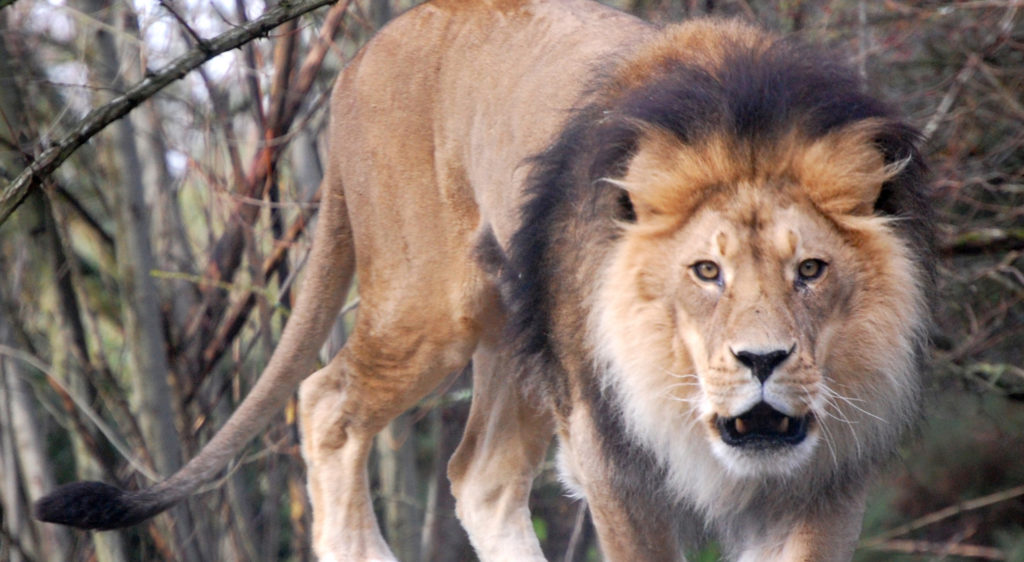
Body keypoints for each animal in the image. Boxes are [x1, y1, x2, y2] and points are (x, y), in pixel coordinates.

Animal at [36, 1, 933, 560]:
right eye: (705, 272)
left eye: (810, 270)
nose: (763, 362)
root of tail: (359, 59)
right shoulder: (615, 461)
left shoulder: (825, 485)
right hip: (436, 304)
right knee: (326, 400)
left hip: (519, 334)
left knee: (482, 480)